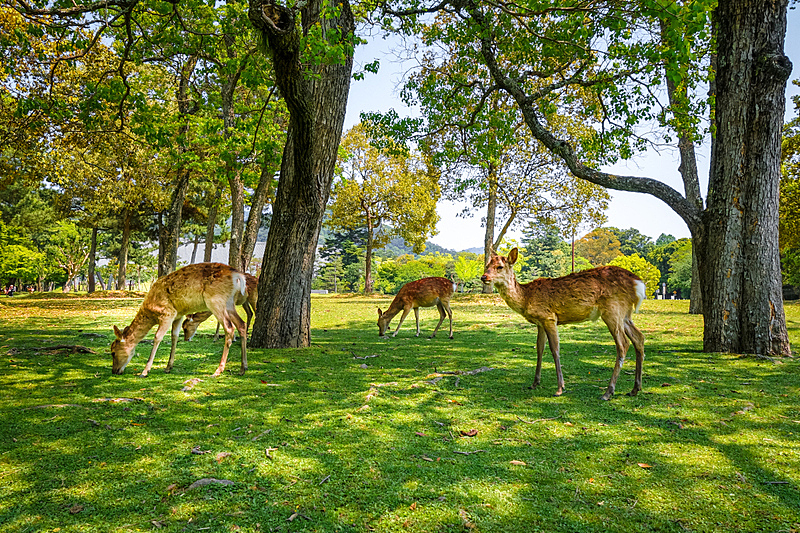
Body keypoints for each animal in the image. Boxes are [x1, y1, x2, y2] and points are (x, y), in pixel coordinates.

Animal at [110, 262, 248, 378]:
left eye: (113, 352)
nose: (114, 371)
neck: (151, 313)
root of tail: (238, 276)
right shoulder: (178, 314)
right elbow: (174, 336)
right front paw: (168, 367)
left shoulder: (167, 313)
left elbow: (157, 337)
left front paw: (145, 371)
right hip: (229, 302)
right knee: (242, 324)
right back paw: (243, 368)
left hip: (215, 300)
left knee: (229, 328)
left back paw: (218, 371)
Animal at [481, 248, 646, 400]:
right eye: (487, 265)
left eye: (500, 266)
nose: (484, 277)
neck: (526, 298)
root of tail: (638, 284)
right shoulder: (540, 323)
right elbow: (539, 349)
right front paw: (534, 383)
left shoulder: (549, 317)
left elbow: (555, 350)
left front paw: (560, 388)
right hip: (625, 314)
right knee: (639, 337)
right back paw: (634, 389)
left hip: (612, 309)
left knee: (623, 344)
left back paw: (608, 392)